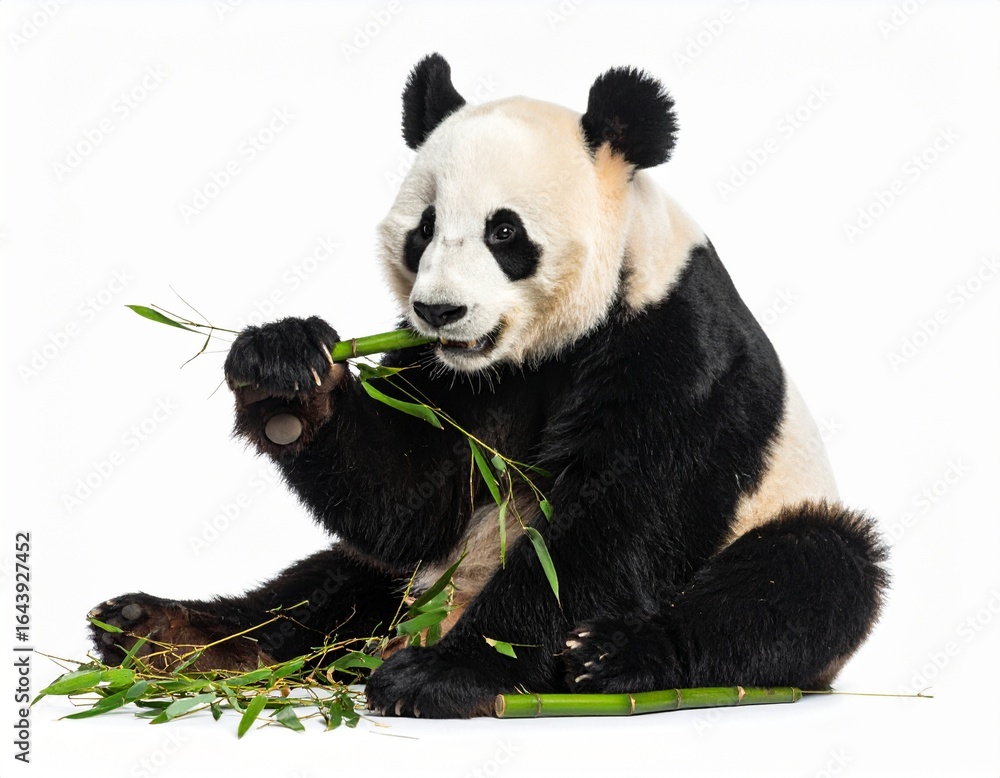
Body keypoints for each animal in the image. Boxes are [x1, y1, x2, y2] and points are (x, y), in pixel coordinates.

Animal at [89, 54, 888, 719]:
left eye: (505, 232)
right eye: (424, 228)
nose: (440, 310)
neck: (544, 346)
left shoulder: (675, 347)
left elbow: (614, 519)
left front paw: (444, 676)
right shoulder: (461, 378)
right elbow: (414, 497)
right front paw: (284, 369)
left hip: (780, 521)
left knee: (809, 576)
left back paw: (612, 657)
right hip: (390, 588)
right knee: (323, 589)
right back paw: (161, 633)